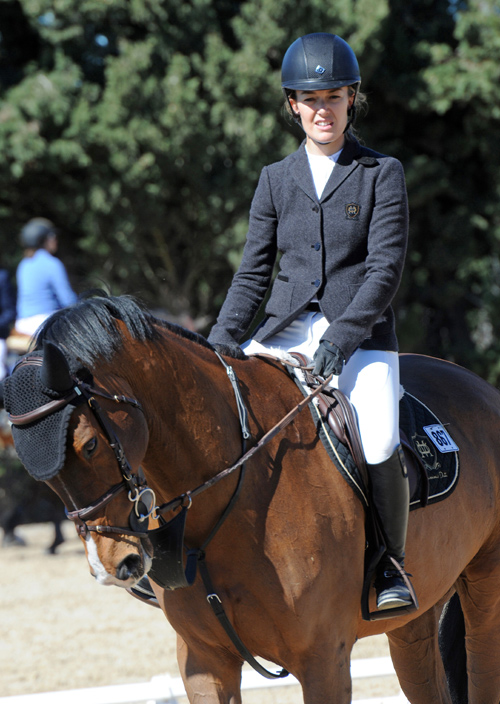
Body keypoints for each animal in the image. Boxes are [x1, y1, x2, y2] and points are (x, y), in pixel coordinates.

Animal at [1, 292, 498, 704]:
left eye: (88, 445)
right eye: (32, 467)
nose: (111, 566)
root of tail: (481, 387)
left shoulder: (324, 660)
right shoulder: (204, 662)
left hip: (484, 589)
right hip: (417, 615)